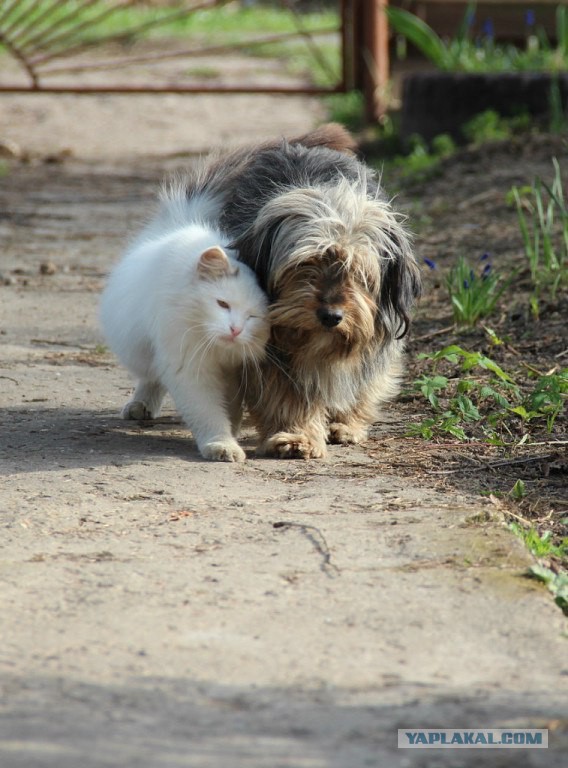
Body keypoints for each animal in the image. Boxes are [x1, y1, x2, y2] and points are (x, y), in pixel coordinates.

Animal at [98, 191, 270, 462]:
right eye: (222, 304)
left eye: (253, 316)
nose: (235, 330)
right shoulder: (189, 367)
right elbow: (208, 412)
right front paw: (221, 444)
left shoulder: (235, 370)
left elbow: (229, 408)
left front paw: (230, 433)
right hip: (145, 351)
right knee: (151, 377)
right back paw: (140, 406)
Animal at [182, 124, 422, 456]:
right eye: (306, 264)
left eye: (358, 272)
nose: (331, 316)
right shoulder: (270, 347)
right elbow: (285, 392)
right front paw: (296, 434)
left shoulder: (374, 333)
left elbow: (362, 380)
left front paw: (347, 424)